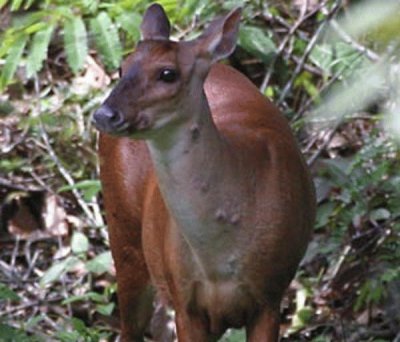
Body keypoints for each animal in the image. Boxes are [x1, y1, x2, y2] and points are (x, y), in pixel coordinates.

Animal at [93, 3, 316, 342]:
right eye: (122, 67)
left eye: (167, 73)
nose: (105, 114)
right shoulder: (185, 301)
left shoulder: (270, 293)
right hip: (124, 231)